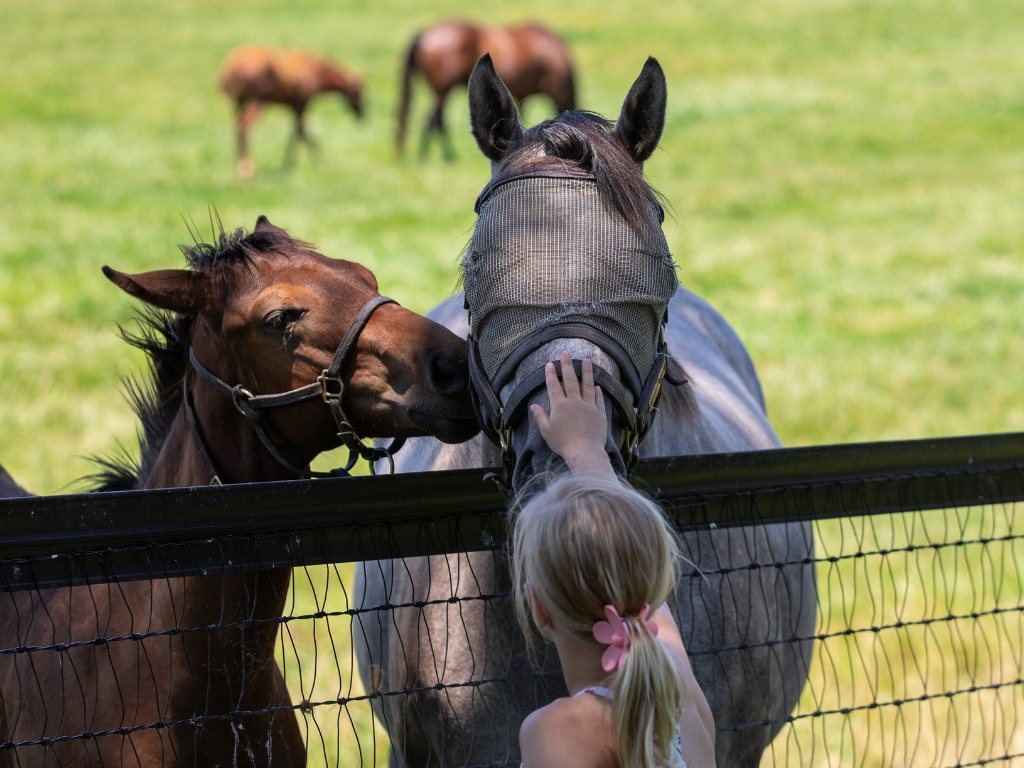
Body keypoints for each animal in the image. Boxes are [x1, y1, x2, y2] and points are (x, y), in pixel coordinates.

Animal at [219, 47, 364, 180]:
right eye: (358, 93)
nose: (362, 116)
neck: (316, 72)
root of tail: (232, 69)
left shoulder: (293, 107)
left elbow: (297, 133)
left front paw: (293, 165)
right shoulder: (301, 105)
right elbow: (300, 134)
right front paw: (315, 163)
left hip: (238, 103)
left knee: (237, 126)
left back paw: (238, 165)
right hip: (257, 101)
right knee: (244, 126)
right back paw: (246, 169)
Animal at [397, 21, 577, 159]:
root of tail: (425, 34)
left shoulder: (521, 95)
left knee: (436, 121)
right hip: (443, 90)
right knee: (434, 121)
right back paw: (440, 156)